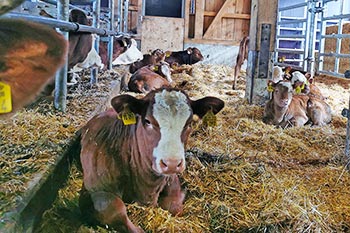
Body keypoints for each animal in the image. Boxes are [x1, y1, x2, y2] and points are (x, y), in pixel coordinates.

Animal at [78, 88, 224, 232]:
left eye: (189, 124)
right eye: (148, 121)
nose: (172, 164)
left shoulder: (172, 180)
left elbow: (175, 207)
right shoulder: (97, 190)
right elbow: (115, 212)